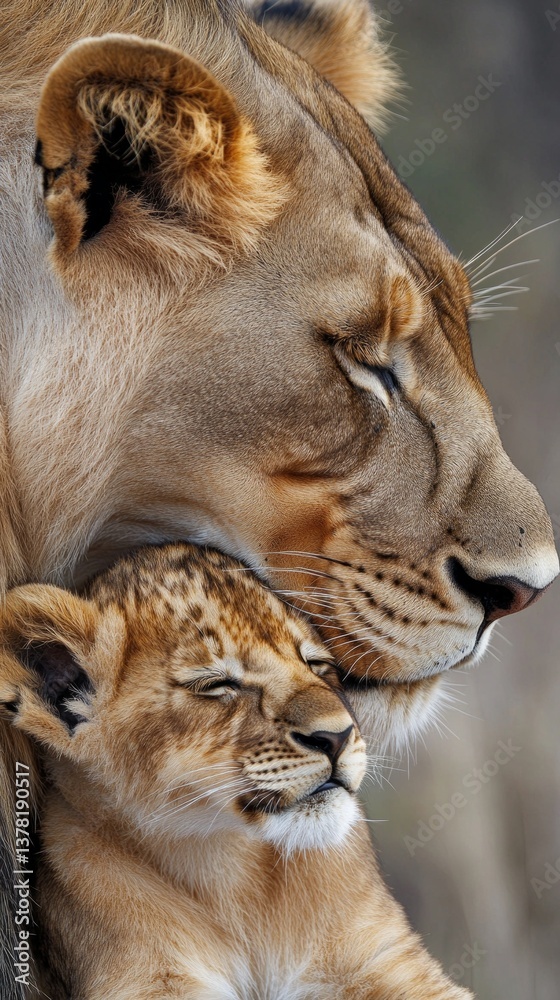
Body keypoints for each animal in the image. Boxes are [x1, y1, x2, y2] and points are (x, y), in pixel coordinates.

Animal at [0, 542, 472, 999]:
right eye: (217, 684)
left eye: (317, 664)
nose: (336, 737)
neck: (233, 879)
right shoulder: (144, 978)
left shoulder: (378, 955)